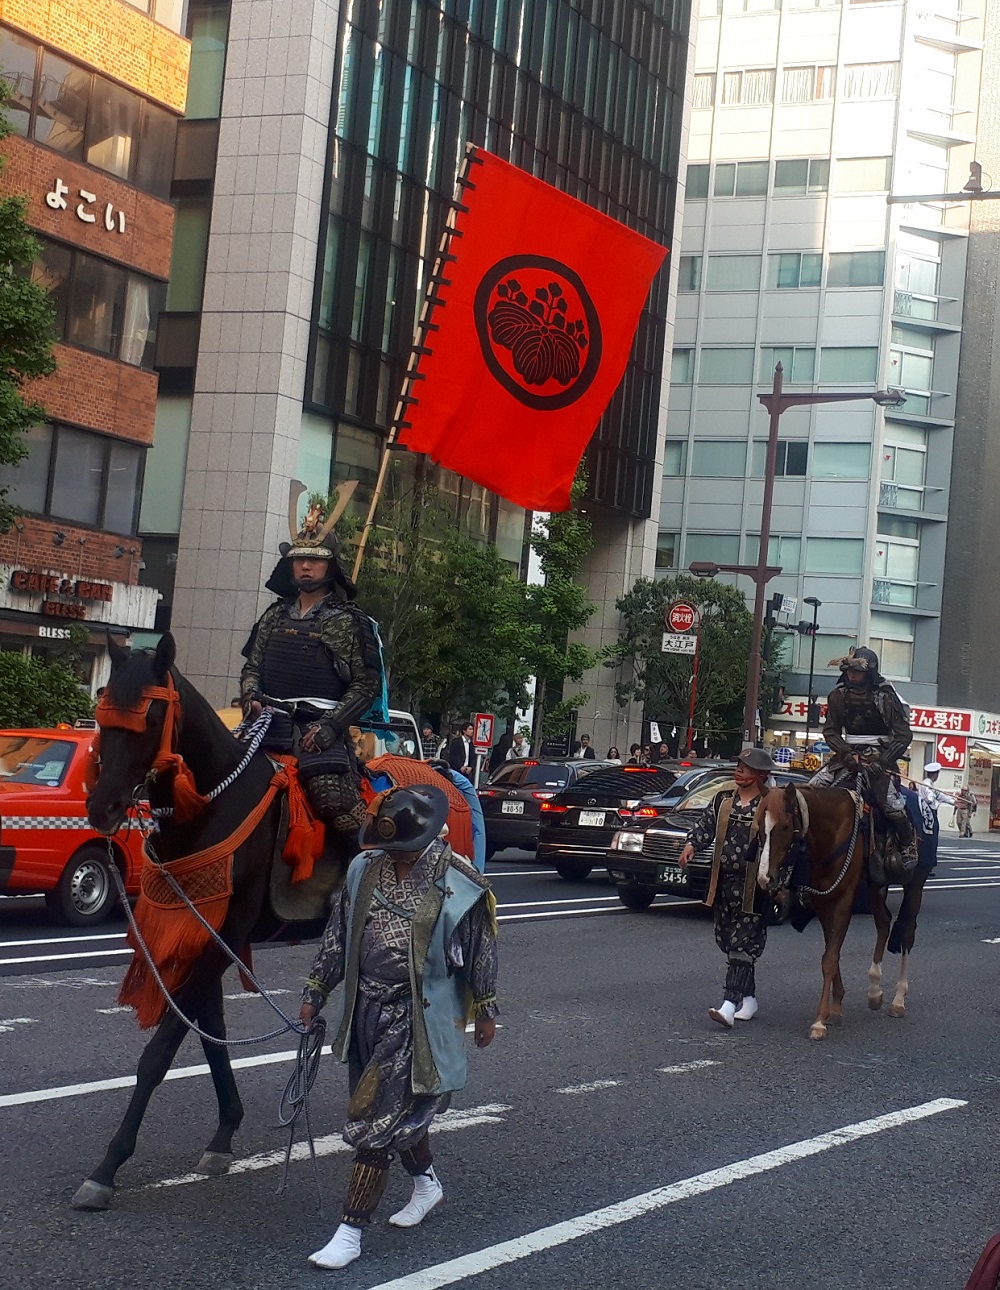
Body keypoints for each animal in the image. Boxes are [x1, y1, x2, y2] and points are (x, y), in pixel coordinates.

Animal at [758, 779, 929, 1042]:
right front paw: (836, 1006)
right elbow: (832, 950)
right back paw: (874, 990)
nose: (765, 878)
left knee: (907, 934)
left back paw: (898, 1000)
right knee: (883, 922)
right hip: (875, 886)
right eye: (758, 825)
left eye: (785, 827)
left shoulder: (843, 899)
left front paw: (820, 1020)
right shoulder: (823, 899)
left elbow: (829, 958)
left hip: (915, 885)